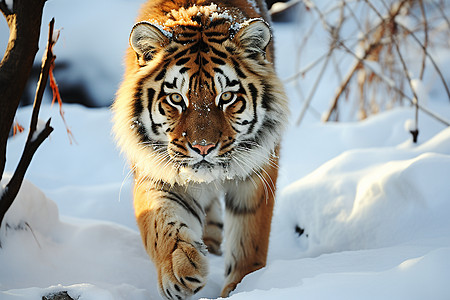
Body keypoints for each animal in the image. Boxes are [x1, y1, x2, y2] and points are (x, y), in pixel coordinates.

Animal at [112, 0, 288, 298]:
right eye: (176, 98)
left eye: (226, 97)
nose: (202, 147)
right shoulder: (154, 168)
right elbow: (160, 221)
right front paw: (180, 268)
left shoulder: (257, 172)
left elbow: (249, 238)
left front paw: (243, 286)